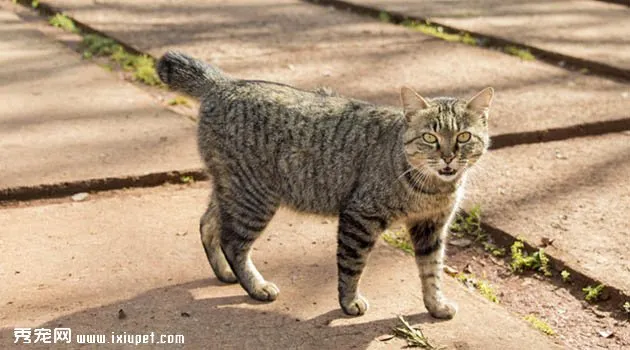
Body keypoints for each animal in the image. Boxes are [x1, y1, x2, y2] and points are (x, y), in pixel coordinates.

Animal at [157, 52, 494, 320]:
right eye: (430, 137)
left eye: (464, 137)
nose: (449, 156)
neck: (433, 188)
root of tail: (224, 84)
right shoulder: (360, 218)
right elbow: (351, 266)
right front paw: (349, 302)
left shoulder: (431, 227)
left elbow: (431, 271)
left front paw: (435, 305)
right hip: (254, 198)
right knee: (233, 242)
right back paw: (255, 286)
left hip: (232, 189)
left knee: (208, 224)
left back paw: (225, 274)